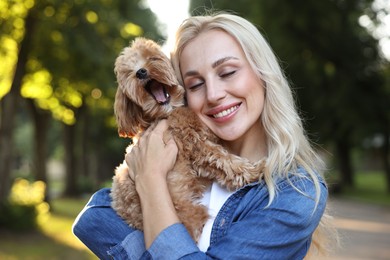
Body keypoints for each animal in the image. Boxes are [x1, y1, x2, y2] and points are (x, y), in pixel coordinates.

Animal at [111, 37, 266, 242]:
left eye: (153, 58)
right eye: (129, 72)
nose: (140, 72)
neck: (167, 113)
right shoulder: (195, 144)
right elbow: (224, 160)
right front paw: (256, 170)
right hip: (190, 213)